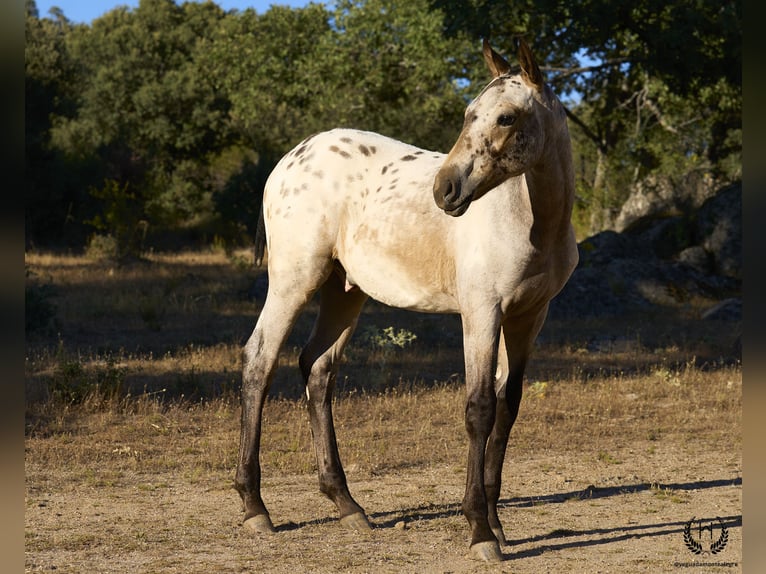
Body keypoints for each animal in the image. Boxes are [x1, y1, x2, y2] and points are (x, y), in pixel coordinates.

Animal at [237, 38, 580, 564]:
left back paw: (347, 505)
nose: (446, 190)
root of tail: (290, 159)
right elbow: (479, 408)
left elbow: (508, 406)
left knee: (317, 369)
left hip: (343, 291)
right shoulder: (481, 312)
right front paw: (479, 531)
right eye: (468, 113)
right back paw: (256, 508)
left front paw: (497, 525)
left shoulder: (528, 317)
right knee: (260, 361)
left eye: (506, 117)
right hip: (295, 280)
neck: (531, 221)